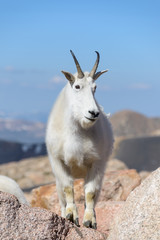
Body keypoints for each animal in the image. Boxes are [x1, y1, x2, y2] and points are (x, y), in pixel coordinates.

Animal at [46, 50, 114, 229]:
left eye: (95, 88)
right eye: (77, 86)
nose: (93, 113)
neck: (78, 131)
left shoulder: (97, 163)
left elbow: (90, 193)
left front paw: (89, 221)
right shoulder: (58, 161)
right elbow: (68, 189)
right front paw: (71, 216)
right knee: (61, 198)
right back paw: (64, 214)